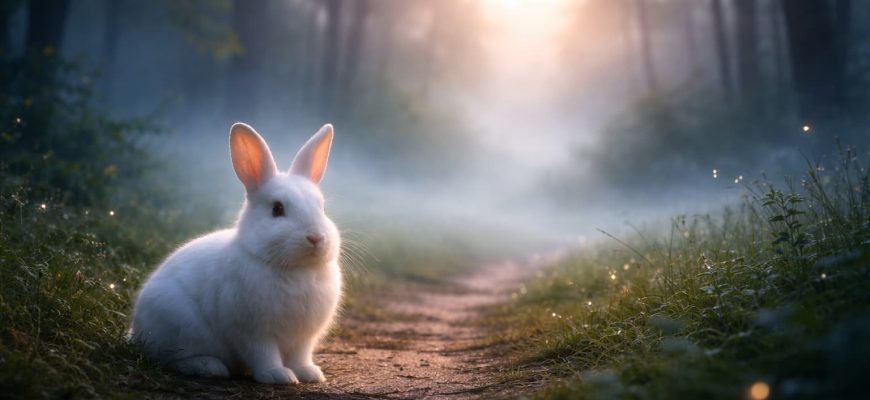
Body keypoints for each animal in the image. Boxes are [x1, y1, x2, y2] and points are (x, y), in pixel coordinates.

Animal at [130, 122, 342, 385]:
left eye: (322, 208)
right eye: (277, 209)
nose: (315, 237)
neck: (296, 269)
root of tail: (135, 330)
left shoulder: (303, 338)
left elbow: (300, 356)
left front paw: (309, 374)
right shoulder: (251, 332)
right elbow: (263, 354)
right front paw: (279, 376)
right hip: (180, 326)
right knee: (171, 358)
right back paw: (209, 367)